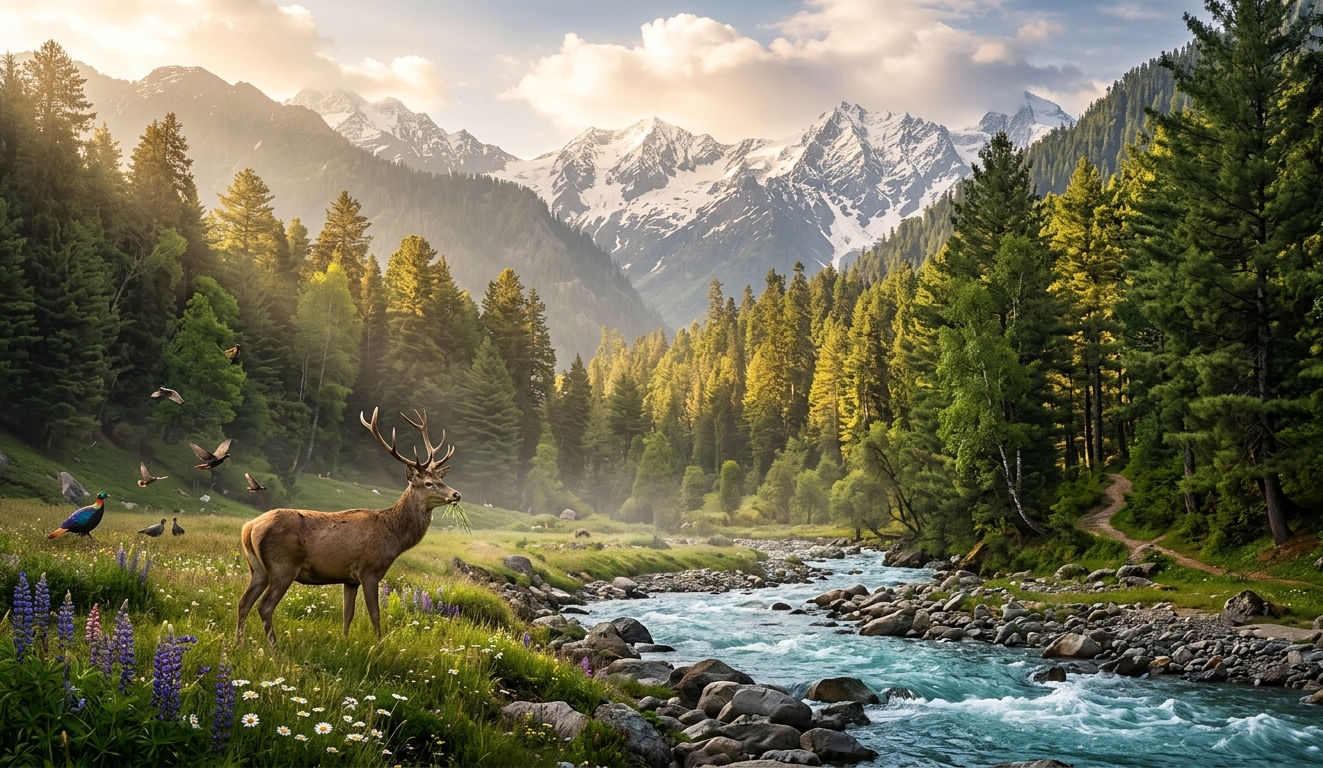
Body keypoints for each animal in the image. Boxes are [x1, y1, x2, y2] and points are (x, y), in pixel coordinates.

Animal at [236, 408, 461, 647]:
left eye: (442, 479)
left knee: (243, 602)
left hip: (257, 569)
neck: (393, 535)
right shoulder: (369, 570)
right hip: (282, 566)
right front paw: (378, 646)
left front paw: (343, 642)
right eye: (428, 483)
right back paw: (275, 649)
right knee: (264, 607)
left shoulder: (349, 579)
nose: (456, 494)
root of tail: (249, 528)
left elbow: (348, 614)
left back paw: (237, 643)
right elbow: (375, 615)